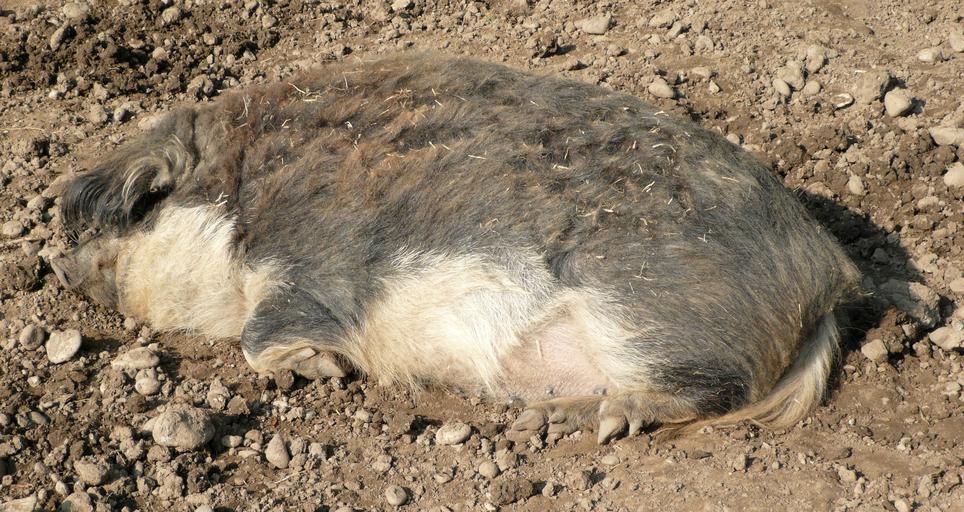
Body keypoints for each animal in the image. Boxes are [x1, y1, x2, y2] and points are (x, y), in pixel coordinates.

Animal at [51, 53, 861, 443]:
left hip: (646, 308)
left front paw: (319, 369)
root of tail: (823, 276)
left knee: (708, 387)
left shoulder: (314, 260)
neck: (242, 197)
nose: (57, 262)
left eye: (143, 205)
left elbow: (265, 333)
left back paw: (575, 421)